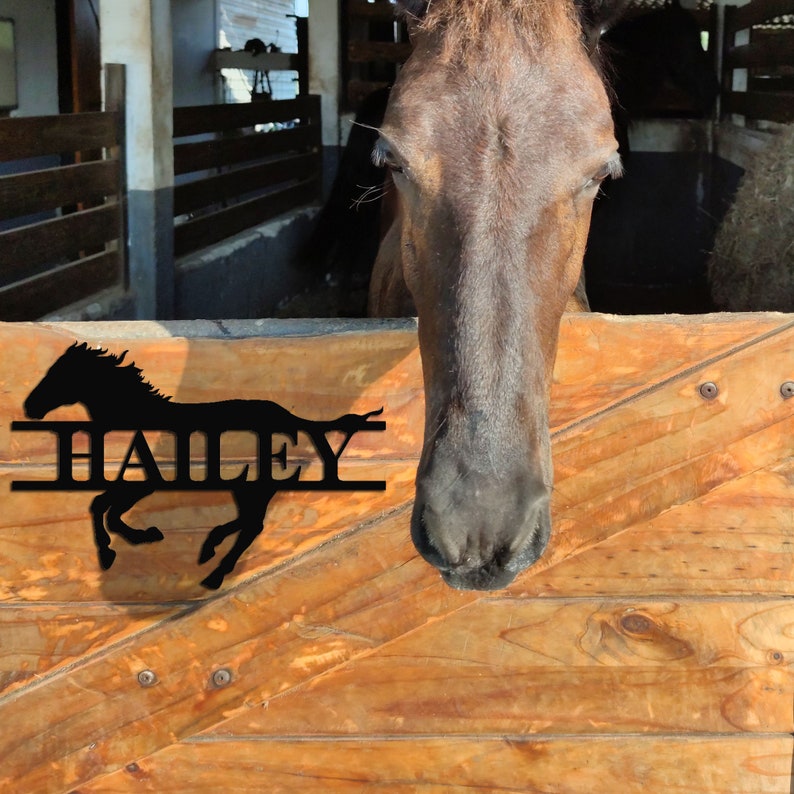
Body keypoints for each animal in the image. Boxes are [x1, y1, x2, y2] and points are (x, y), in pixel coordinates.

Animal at [23, 342, 383, 589]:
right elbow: (103, 506)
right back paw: (211, 553)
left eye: (60, 375)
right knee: (249, 523)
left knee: (252, 526)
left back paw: (213, 566)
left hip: (255, 485)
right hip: (247, 485)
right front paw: (133, 541)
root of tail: (291, 420)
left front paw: (125, 544)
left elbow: (107, 509)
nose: (30, 407)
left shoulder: (146, 482)